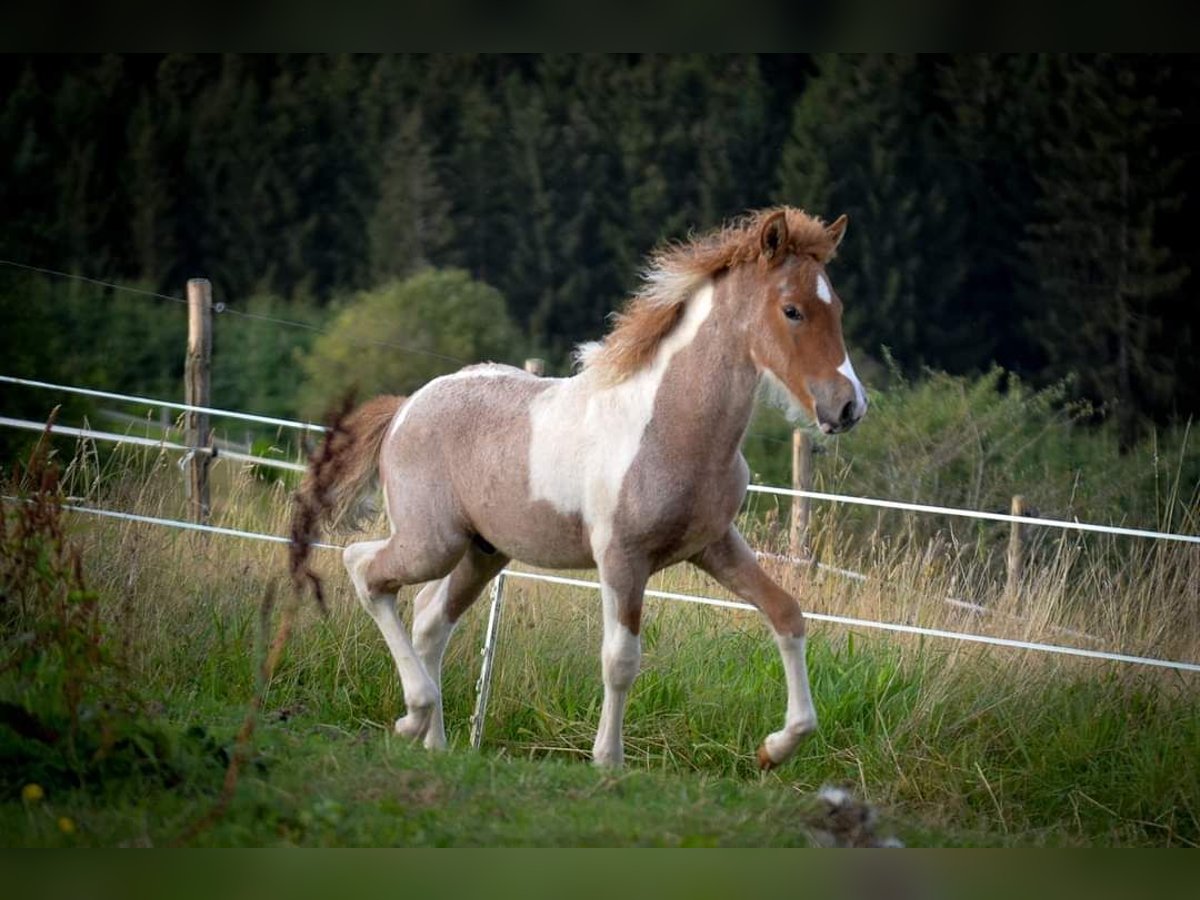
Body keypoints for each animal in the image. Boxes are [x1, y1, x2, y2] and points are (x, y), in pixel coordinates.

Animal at [295, 207, 868, 772]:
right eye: (792, 310)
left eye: (838, 307)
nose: (848, 406)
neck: (671, 427)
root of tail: (405, 407)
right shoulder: (621, 557)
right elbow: (621, 659)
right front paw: (608, 763)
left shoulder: (714, 545)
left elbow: (787, 613)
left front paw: (775, 749)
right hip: (430, 541)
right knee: (363, 567)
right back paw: (412, 715)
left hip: (483, 552)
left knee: (430, 618)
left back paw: (432, 740)